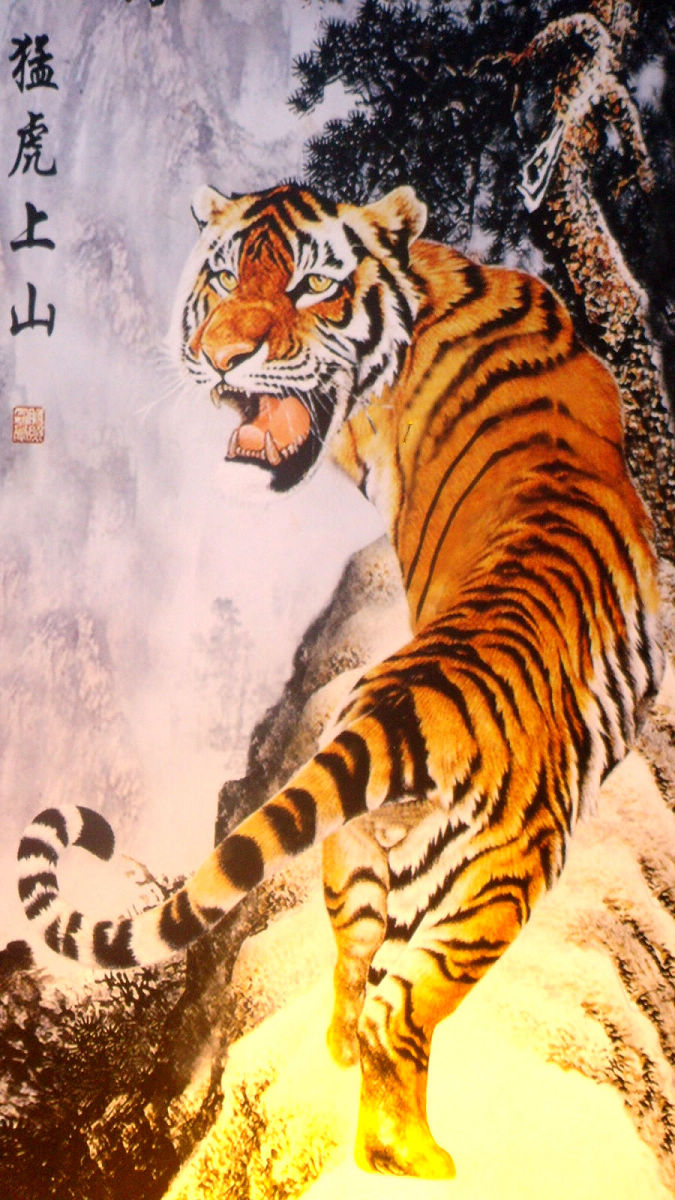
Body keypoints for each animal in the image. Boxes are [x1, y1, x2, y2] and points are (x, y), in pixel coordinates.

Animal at [17, 182, 664, 1179]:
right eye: (221, 277)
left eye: (312, 284)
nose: (222, 357)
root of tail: (405, 709)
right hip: (498, 886)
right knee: (399, 1015)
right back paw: (418, 1162)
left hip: (351, 856)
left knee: (356, 974)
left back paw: (343, 1063)